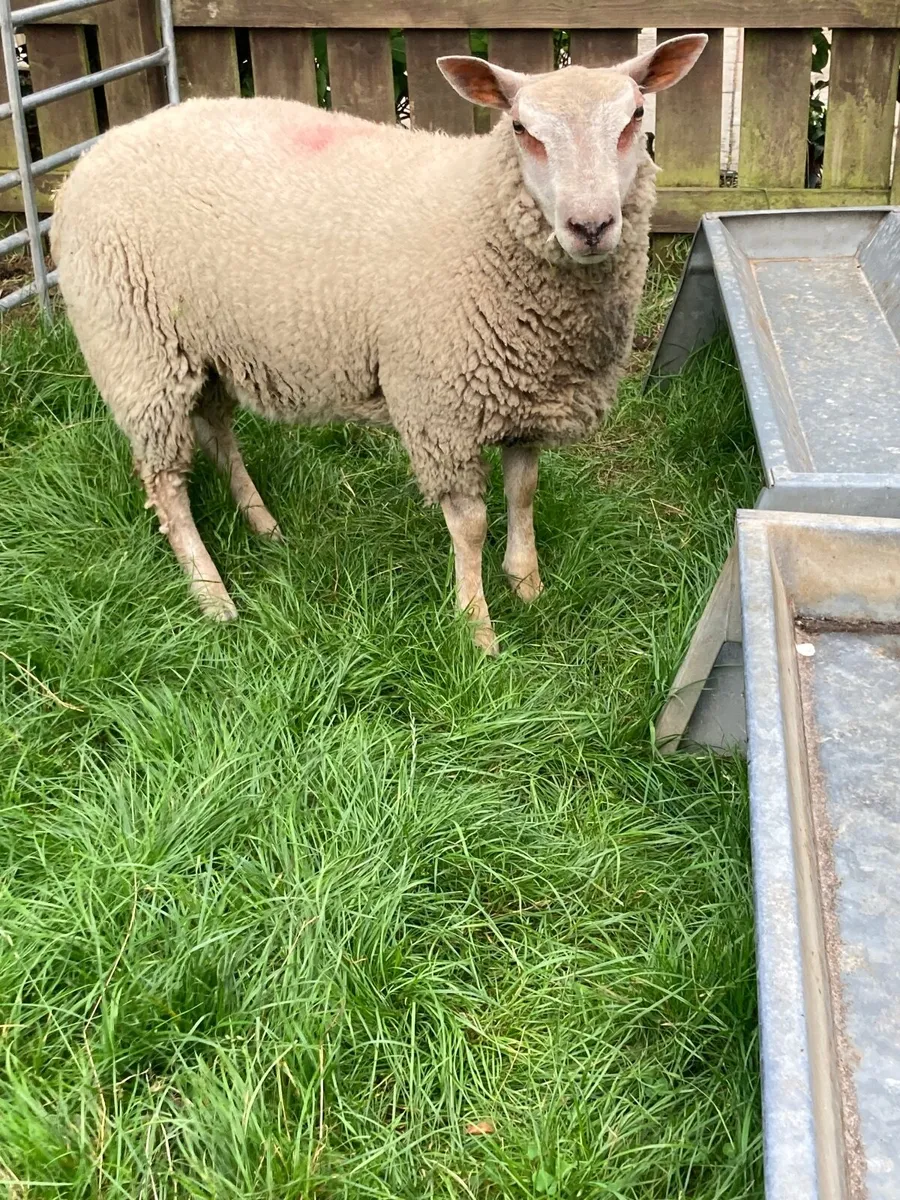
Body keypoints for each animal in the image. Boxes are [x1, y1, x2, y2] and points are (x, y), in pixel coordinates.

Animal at [51, 34, 707, 653]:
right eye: (522, 130)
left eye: (635, 118)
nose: (590, 226)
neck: (481, 218)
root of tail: (97, 150)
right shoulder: (440, 409)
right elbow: (470, 525)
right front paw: (478, 631)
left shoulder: (524, 395)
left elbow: (524, 494)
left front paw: (528, 586)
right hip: (138, 354)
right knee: (165, 485)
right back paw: (211, 593)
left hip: (207, 348)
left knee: (218, 433)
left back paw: (261, 523)